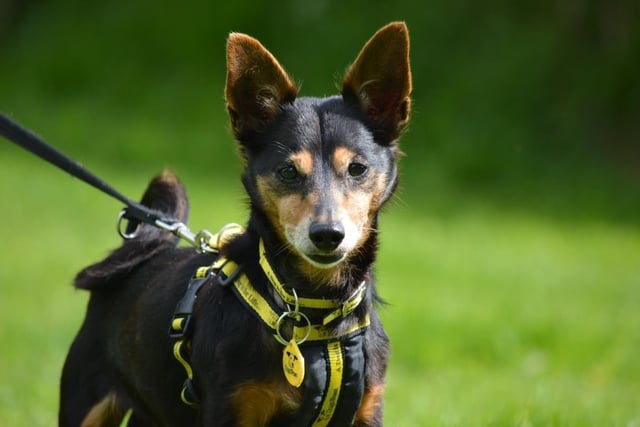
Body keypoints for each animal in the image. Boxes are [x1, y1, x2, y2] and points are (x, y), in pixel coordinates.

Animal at [58, 21, 410, 426]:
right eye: (288, 171)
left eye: (357, 169)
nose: (327, 235)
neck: (318, 311)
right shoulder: (231, 410)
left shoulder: (368, 411)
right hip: (85, 402)